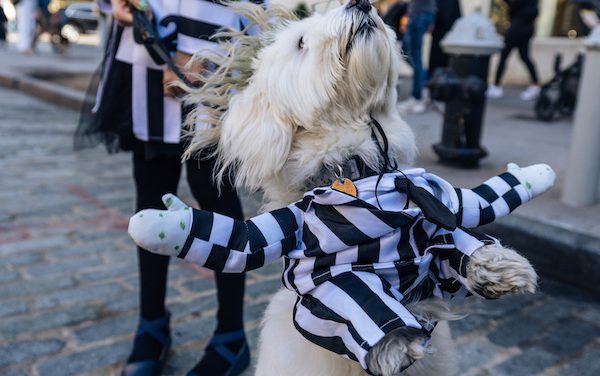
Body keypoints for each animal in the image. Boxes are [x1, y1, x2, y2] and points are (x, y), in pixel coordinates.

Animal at [129, 1, 556, 374]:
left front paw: (505, 252)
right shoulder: (312, 251)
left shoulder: (431, 209)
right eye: (301, 42)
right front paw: (164, 224)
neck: (362, 172)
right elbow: (252, 245)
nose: (362, 3)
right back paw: (396, 341)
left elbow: (463, 222)